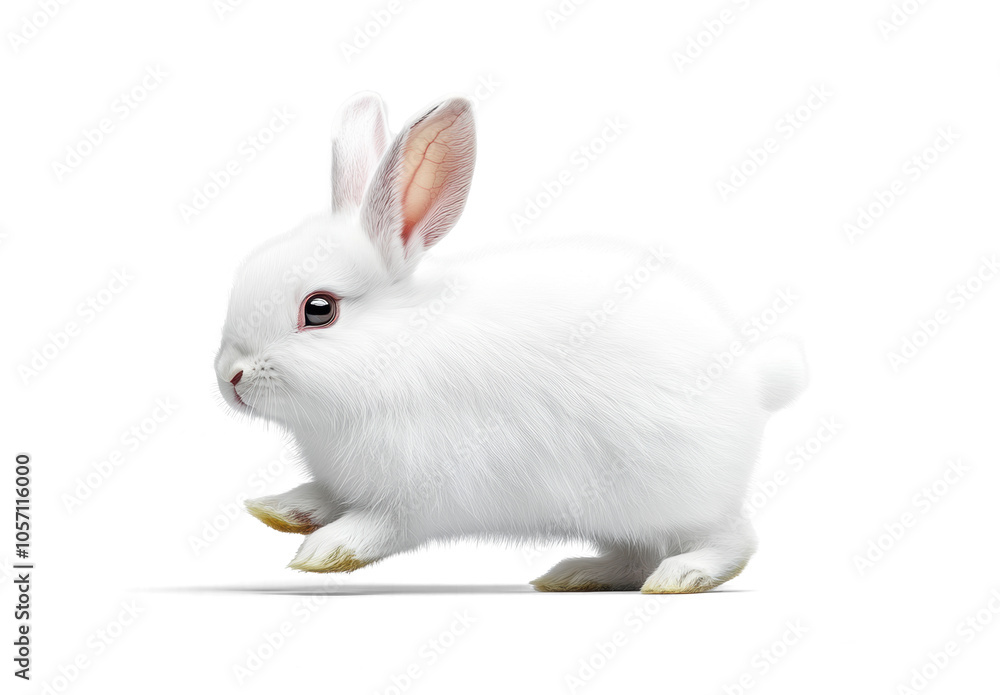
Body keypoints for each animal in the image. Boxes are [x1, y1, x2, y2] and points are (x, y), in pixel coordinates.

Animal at [215, 92, 807, 593]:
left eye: (319, 310)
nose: (229, 377)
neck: (394, 352)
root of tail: (755, 379)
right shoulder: (343, 481)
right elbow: (321, 496)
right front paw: (278, 511)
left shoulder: (426, 492)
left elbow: (383, 524)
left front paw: (325, 551)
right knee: (635, 556)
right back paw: (575, 574)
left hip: (674, 498)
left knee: (732, 539)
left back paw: (682, 575)